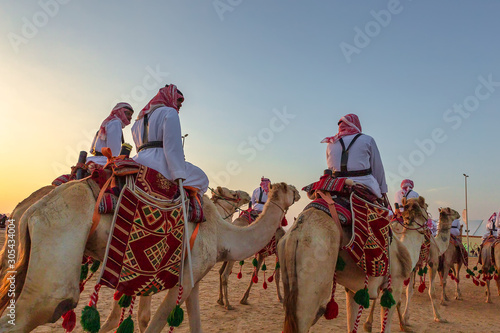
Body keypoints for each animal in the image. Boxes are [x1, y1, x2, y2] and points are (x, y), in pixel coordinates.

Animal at [0, 179, 298, 332]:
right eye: (234, 193)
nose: (298, 191)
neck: (224, 232)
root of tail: (32, 209)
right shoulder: (183, 277)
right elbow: (153, 323)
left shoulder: (194, 277)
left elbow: (195, 322)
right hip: (60, 239)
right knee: (50, 303)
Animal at [280, 193, 456, 330]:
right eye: (427, 206)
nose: (457, 214)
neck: (406, 244)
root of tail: (298, 230)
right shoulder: (395, 284)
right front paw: (437, 317)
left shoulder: (354, 290)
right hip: (312, 280)